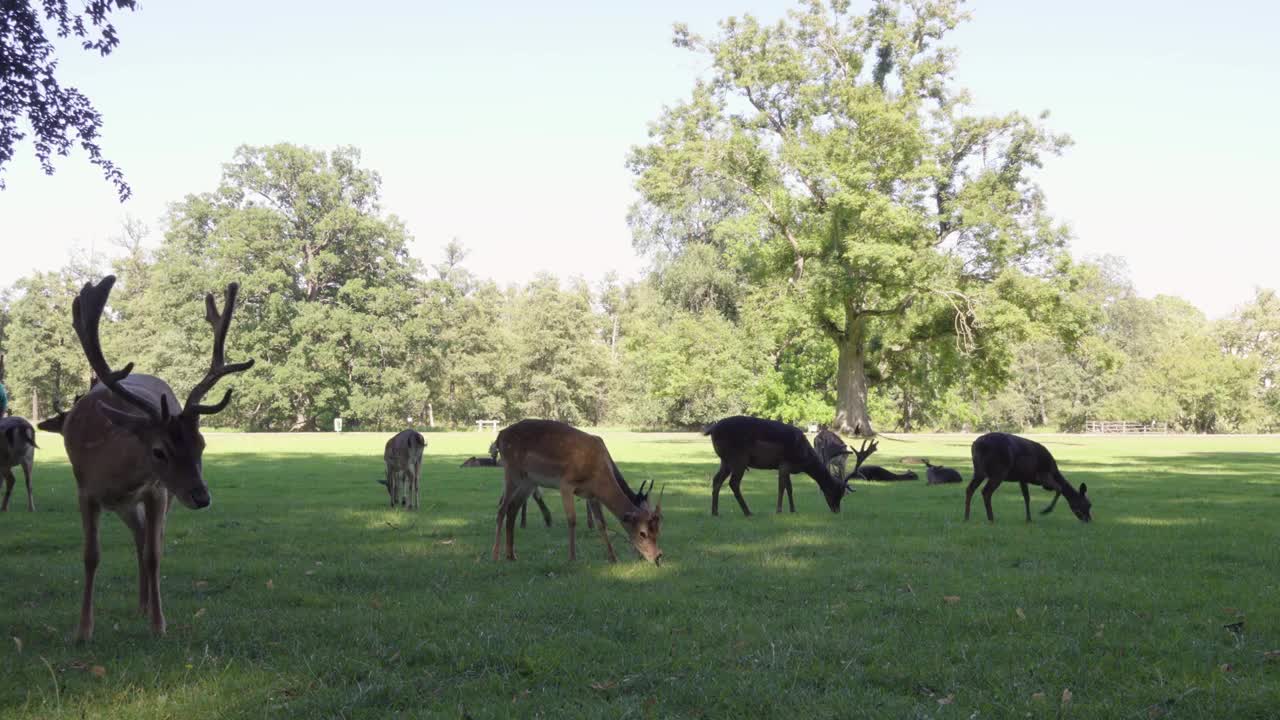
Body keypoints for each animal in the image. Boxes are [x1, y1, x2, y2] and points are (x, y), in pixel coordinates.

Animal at [62, 274, 254, 638]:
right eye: (158, 451)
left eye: (202, 443)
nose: (202, 497)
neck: (111, 470)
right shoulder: (84, 491)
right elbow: (90, 556)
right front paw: (83, 630)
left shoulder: (156, 491)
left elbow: (154, 555)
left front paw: (158, 624)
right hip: (130, 504)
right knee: (138, 536)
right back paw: (140, 604)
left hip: (161, 498)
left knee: (149, 541)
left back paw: (146, 605)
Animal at [491, 417, 665, 563]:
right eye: (642, 533)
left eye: (658, 530)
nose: (658, 556)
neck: (597, 473)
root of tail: (499, 436)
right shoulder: (566, 484)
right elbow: (572, 520)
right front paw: (572, 557)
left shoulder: (592, 495)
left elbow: (601, 523)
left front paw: (613, 558)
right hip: (511, 471)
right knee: (501, 508)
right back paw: (496, 555)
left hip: (528, 482)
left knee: (512, 508)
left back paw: (511, 555)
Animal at [701, 415, 849, 515]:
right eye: (836, 491)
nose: (837, 510)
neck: (804, 459)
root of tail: (712, 429)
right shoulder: (784, 464)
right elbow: (782, 487)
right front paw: (779, 510)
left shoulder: (786, 467)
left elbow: (789, 488)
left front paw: (793, 510)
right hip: (738, 459)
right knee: (733, 483)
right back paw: (748, 512)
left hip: (725, 461)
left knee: (716, 480)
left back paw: (715, 512)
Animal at [962, 430, 1095, 520]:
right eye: (1087, 504)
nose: (1088, 520)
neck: (1054, 471)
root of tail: (976, 445)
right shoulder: (1042, 475)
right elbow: (1059, 488)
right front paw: (1045, 511)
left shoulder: (1023, 478)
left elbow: (1027, 497)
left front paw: (1029, 519)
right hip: (999, 470)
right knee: (986, 491)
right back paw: (991, 519)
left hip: (979, 470)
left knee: (969, 488)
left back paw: (966, 517)